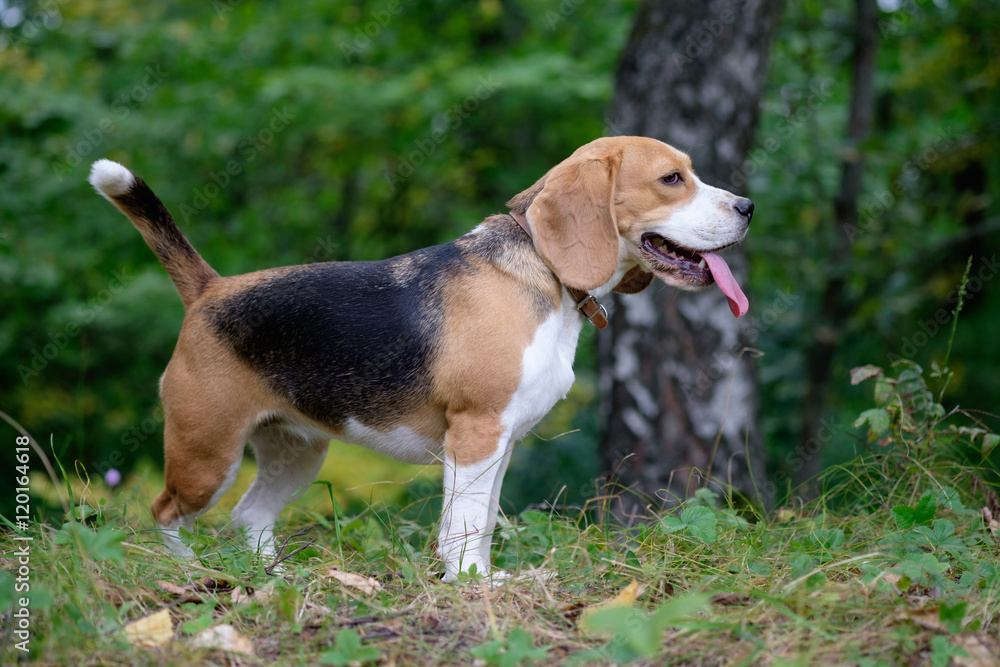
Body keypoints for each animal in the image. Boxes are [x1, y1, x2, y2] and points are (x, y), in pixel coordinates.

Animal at [92, 136, 752, 580]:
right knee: (165, 512)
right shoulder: (476, 433)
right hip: (206, 453)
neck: (542, 268)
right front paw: (470, 586)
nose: (747, 206)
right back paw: (186, 570)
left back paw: (273, 577)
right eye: (672, 179)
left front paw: (486, 579)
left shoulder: (499, 444)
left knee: (248, 517)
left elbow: (481, 522)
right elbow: (462, 527)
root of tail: (210, 289)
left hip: (297, 453)